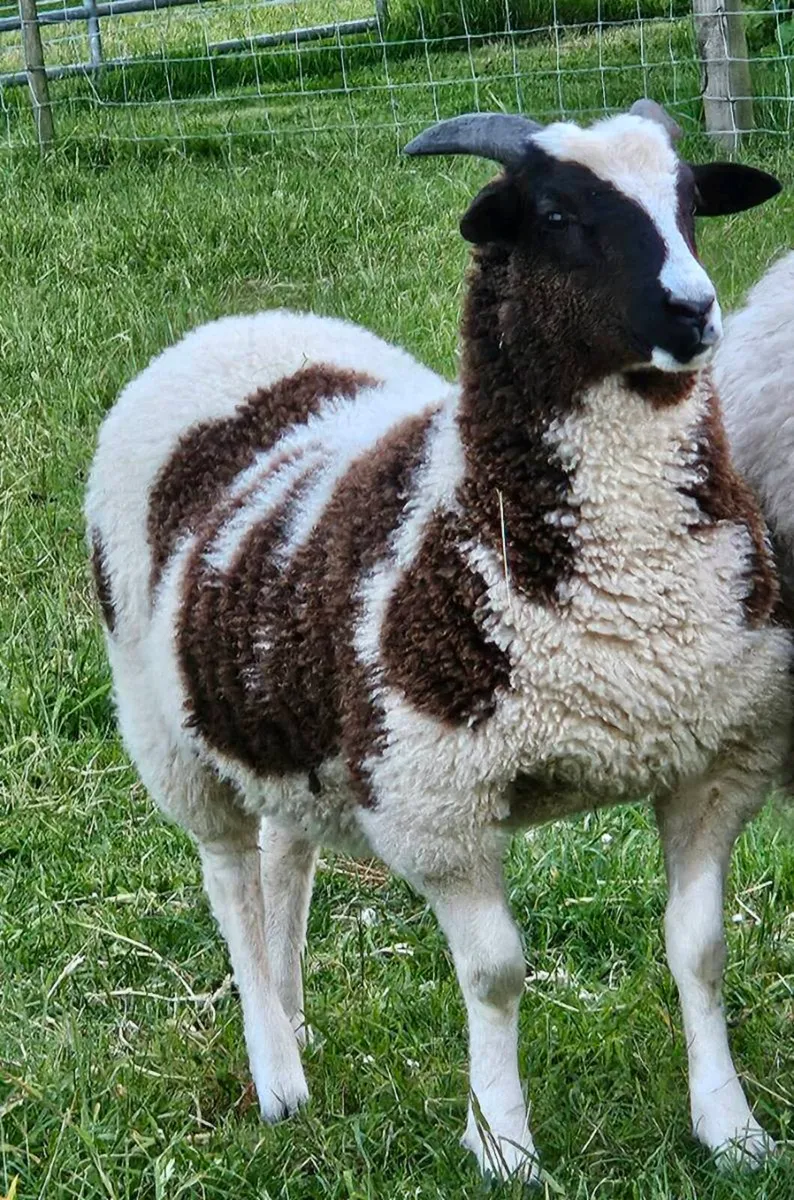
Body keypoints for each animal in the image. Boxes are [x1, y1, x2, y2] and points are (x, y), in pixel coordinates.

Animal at [85, 101, 791, 1183]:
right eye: (555, 214)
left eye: (688, 202)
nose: (691, 312)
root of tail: (229, 331)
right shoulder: (436, 797)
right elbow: (496, 973)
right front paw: (502, 1143)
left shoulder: (714, 763)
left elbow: (700, 949)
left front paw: (733, 1130)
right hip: (170, 738)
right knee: (231, 882)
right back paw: (275, 1073)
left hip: (300, 730)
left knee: (286, 858)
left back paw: (295, 1021)